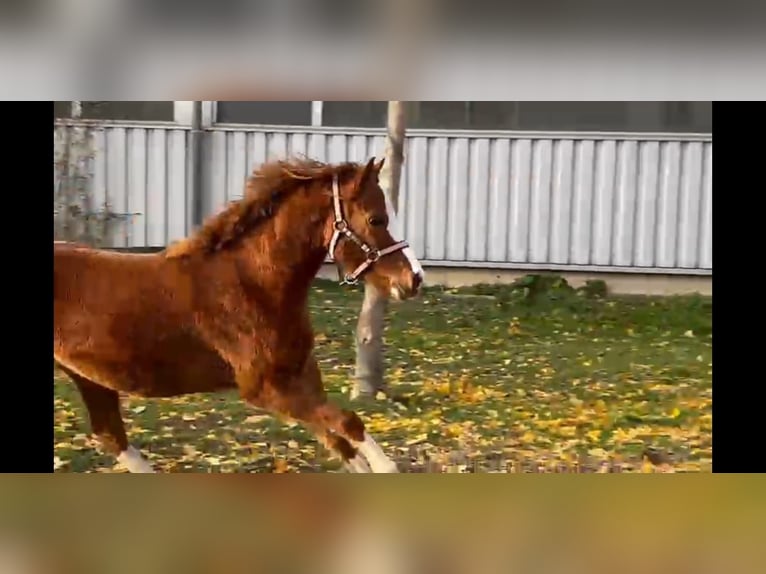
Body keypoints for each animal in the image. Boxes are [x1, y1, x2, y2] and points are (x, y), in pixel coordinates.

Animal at [54, 156, 426, 472]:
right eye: (377, 219)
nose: (414, 279)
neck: (252, 285)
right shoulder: (264, 389)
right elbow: (350, 423)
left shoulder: (301, 377)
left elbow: (341, 441)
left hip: (91, 379)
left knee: (111, 436)